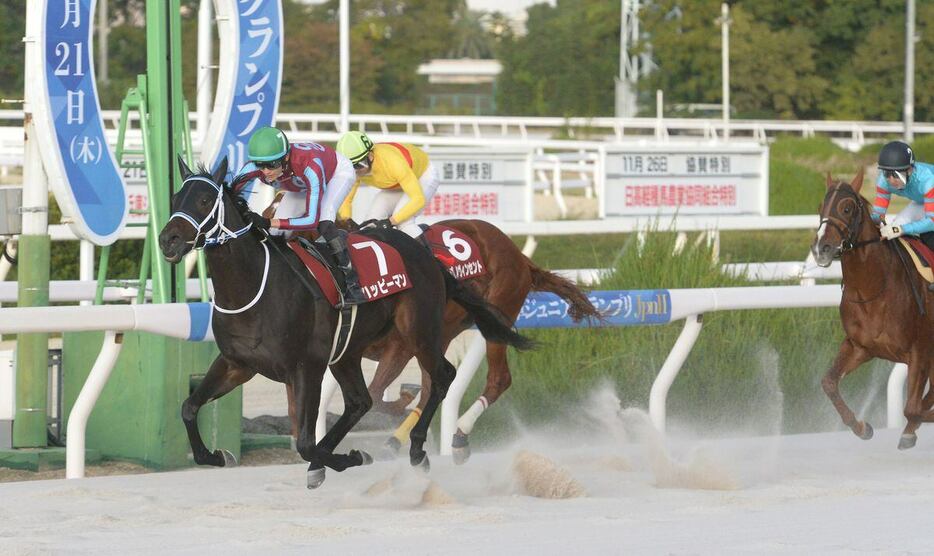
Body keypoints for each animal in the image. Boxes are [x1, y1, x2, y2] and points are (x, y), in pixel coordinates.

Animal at [157, 156, 532, 486]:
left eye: (205, 199)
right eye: (175, 198)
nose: (167, 240)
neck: (253, 287)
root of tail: (426, 254)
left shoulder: (305, 367)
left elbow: (305, 442)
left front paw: (346, 458)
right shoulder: (237, 364)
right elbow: (189, 407)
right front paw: (217, 455)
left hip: (418, 331)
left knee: (441, 377)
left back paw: (416, 449)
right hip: (348, 351)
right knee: (360, 401)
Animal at [812, 172, 934, 450]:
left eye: (846, 208)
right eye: (820, 207)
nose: (821, 249)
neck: (873, 289)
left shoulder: (920, 351)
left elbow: (913, 409)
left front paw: (909, 429)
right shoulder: (860, 347)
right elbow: (829, 382)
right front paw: (862, 427)